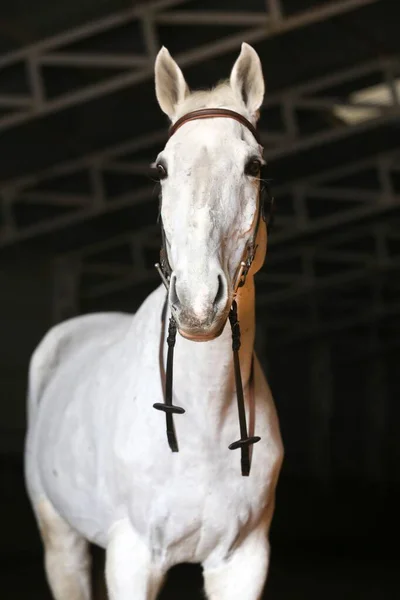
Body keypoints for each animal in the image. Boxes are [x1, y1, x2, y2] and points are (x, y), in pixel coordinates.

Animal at [23, 43, 282, 600]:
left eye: (253, 166)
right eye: (159, 170)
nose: (198, 302)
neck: (204, 417)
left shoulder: (244, 562)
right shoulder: (134, 558)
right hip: (61, 538)